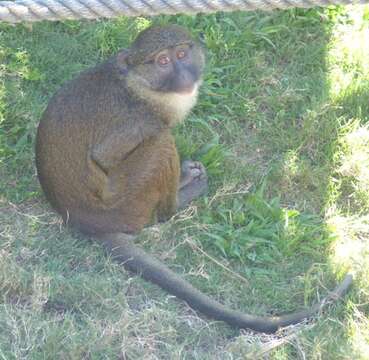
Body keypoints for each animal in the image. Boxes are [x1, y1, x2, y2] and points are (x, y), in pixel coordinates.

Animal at [36, 25, 352, 334]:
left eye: (181, 54)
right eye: (163, 61)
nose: (184, 75)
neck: (142, 88)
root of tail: (84, 220)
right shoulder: (139, 120)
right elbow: (103, 157)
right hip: (126, 201)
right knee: (162, 145)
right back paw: (179, 197)